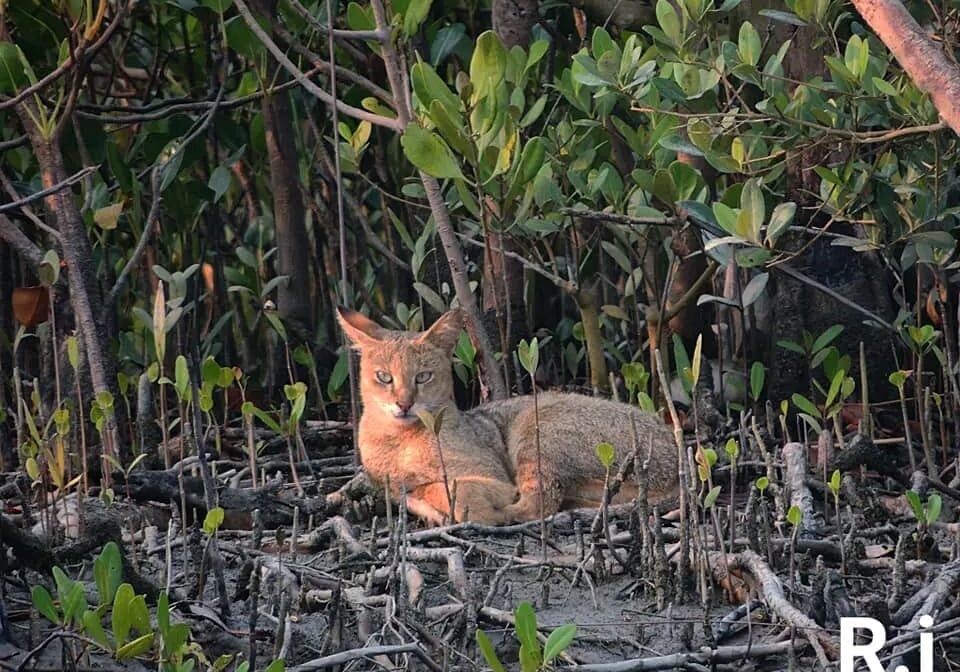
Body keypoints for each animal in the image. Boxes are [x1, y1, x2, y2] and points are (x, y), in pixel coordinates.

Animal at [338, 308, 684, 524]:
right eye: (384, 377)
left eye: (423, 377)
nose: (404, 404)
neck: (397, 443)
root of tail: (675, 447)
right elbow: (413, 487)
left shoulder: (489, 475)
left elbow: (446, 487)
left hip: (537, 433)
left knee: (539, 504)